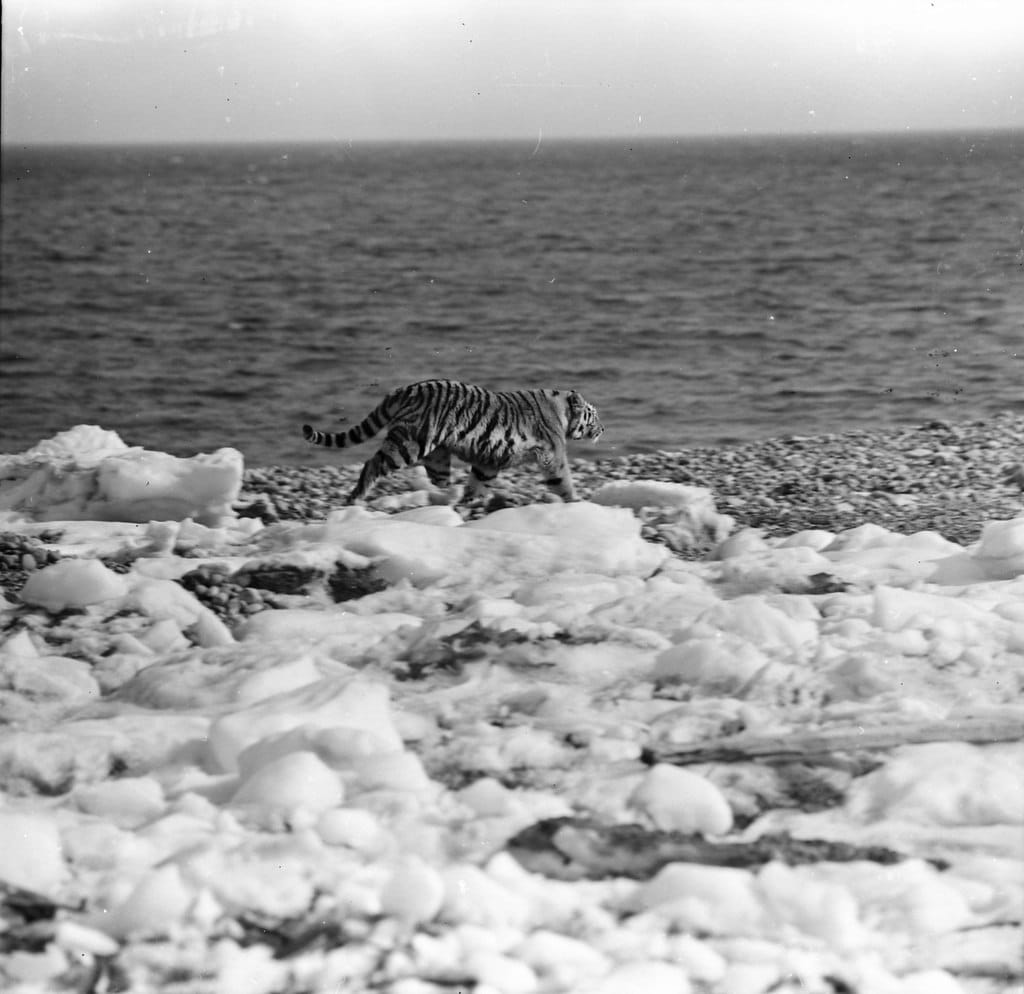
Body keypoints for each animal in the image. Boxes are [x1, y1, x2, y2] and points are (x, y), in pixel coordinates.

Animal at [302, 379, 604, 505]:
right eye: (594, 415)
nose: (603, 428)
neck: (562, 411)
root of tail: (403, 389)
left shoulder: (489, 461)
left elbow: (478, 483)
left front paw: (470, 501)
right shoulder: (553, 456)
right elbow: (563, 480)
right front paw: (577, 501)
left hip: (436, 454)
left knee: (439, 482)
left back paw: (446, 498)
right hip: (408, 444)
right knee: (371, 465)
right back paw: (357, 496)